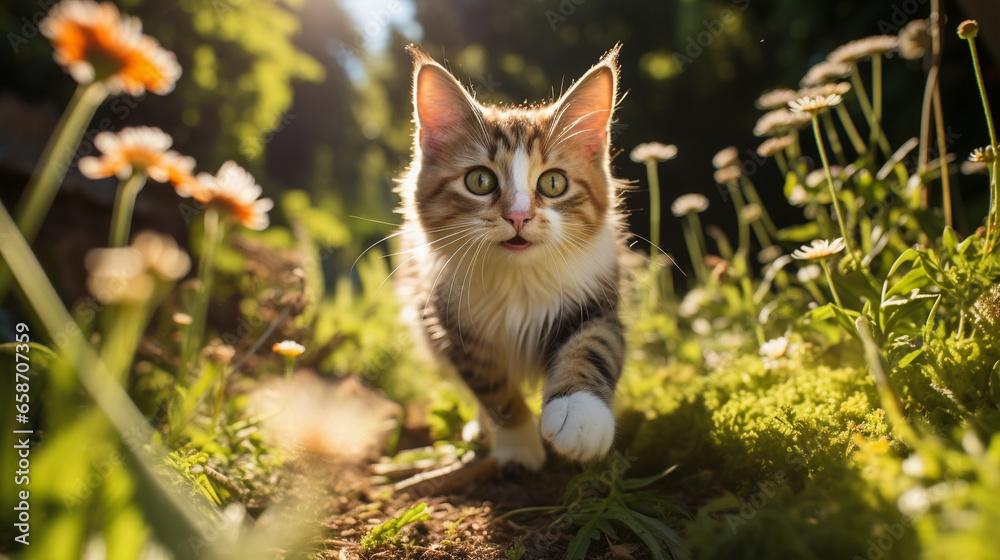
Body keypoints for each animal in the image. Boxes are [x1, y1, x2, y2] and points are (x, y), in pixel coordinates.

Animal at [392, 46, 620, 470]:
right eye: (480, 181)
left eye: (553, 182)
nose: (518, 216)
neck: (519, 280)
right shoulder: (450, 324)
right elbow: (495, 391)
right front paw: (518, 446)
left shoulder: (596, 298)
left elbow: (593, 347)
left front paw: (581, 416)